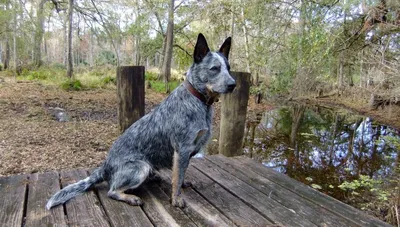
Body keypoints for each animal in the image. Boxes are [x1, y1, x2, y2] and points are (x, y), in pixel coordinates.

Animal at [45, 33, 236, 209]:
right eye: (214, 68)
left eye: (228, 68)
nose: (233, 84)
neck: (199, 100)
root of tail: (105, 166)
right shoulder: (182, 148)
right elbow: (177, 178)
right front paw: (176, 199)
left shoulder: (188, 151)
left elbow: (181, 174)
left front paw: (182, 185)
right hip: (141, 167)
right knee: (112, 191)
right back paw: (131, 198)